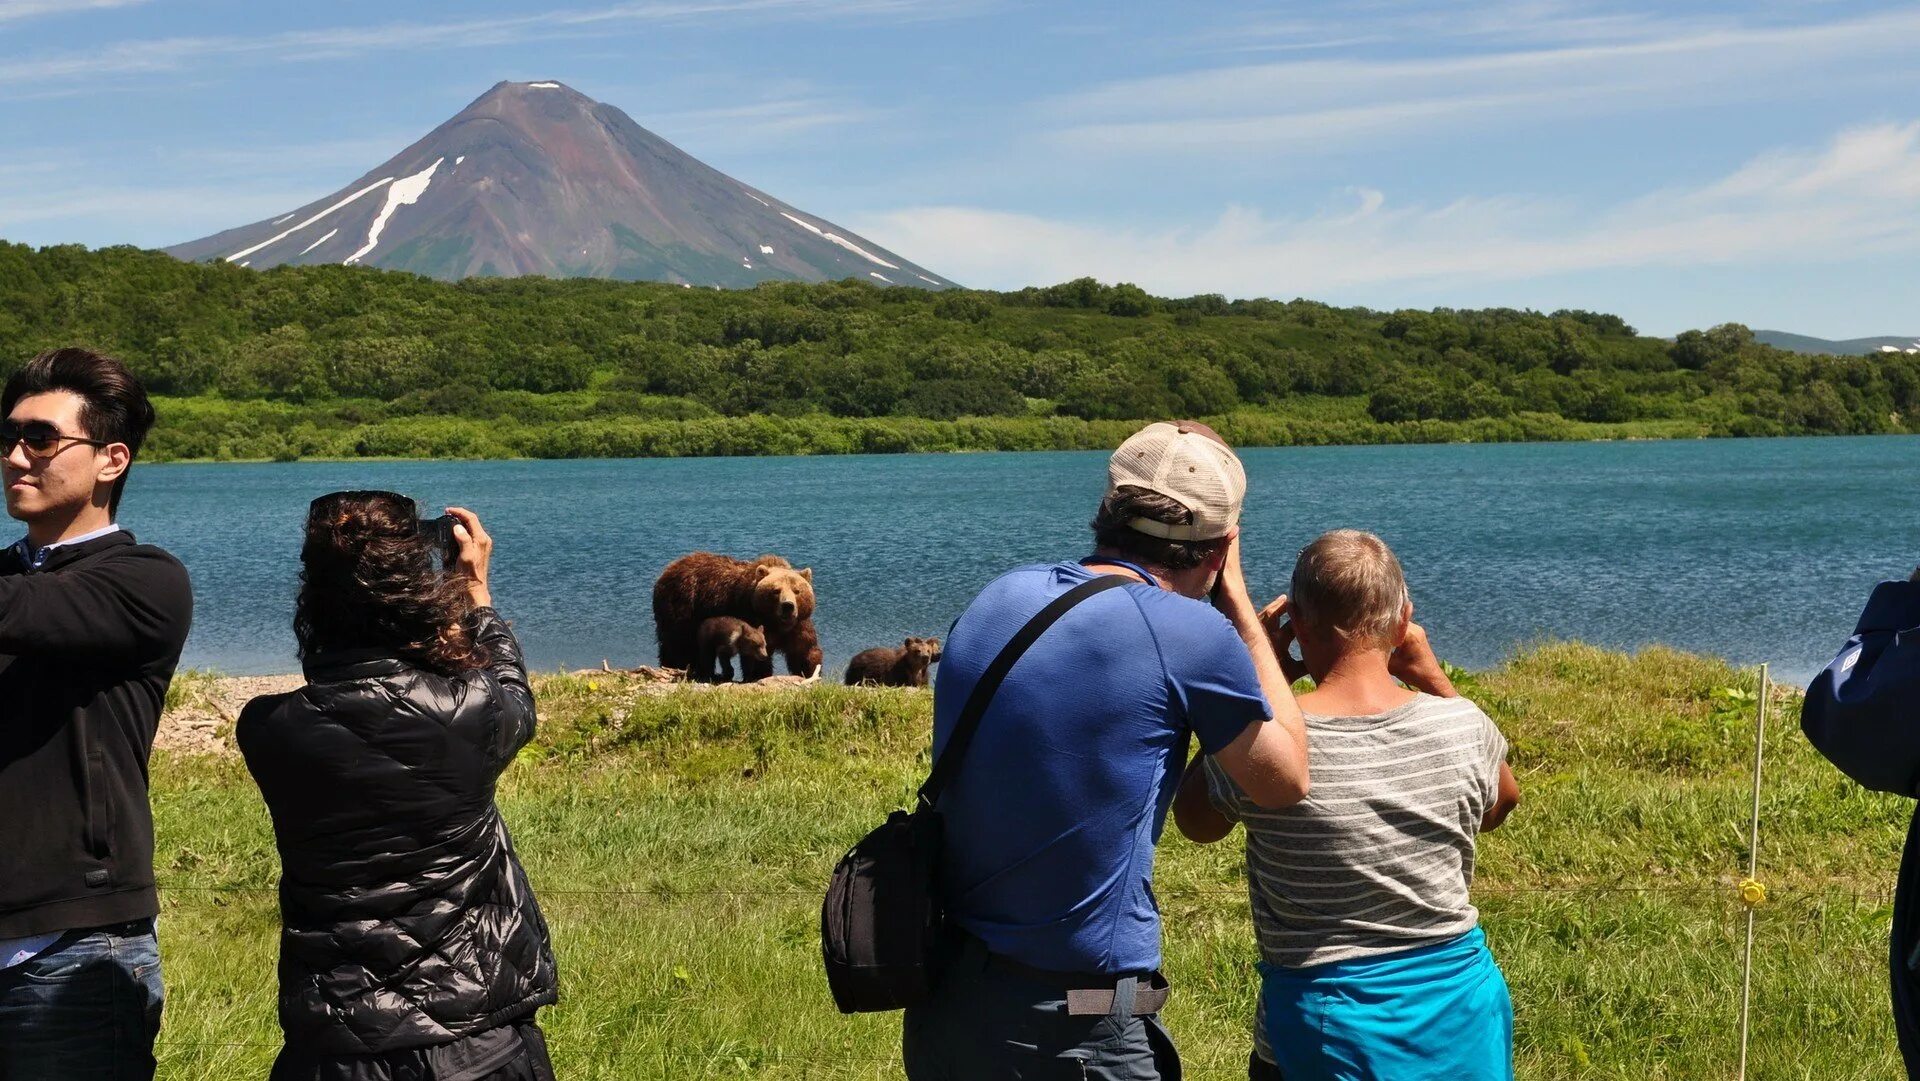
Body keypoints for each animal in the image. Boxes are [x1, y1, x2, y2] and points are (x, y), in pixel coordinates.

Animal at [656, 556, 821, 675]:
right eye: (776, 590)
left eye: (797, 590)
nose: (788, 606)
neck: (776, 623)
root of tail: (669, 568)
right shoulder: (750, 616)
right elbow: (755, 653)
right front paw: (758, 673)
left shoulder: (799, 624)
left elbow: (804, 651)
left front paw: (810, 672)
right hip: (682, 608)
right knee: (679, 644)